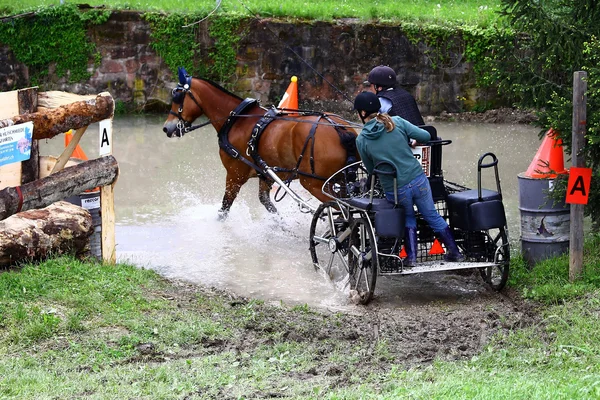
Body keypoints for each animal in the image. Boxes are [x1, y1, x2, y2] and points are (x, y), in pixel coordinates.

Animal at [163, 68, 360, 219]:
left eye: (177, 97)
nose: (166, 128)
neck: (237, 119)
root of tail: (341, 129)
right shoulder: (265, 175)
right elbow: (267, 204)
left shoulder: (234, 176)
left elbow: (224, 208)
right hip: (339, 182)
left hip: (316, 185)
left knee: (344, 212)